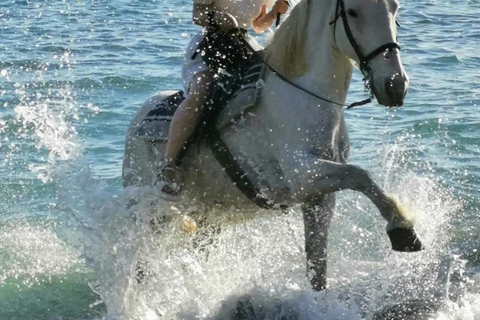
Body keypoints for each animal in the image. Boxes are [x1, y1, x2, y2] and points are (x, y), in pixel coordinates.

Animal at [124, 0, 424, 292]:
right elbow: (360, 174)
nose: (396, 85)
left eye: (395, 9)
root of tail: (137, 119)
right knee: (140, 266)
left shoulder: (319, 197)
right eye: (352, 12)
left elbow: (317, 265)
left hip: (210, 217)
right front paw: (402, 228)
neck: (303, 95)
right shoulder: (304, 176)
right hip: (151, 216)